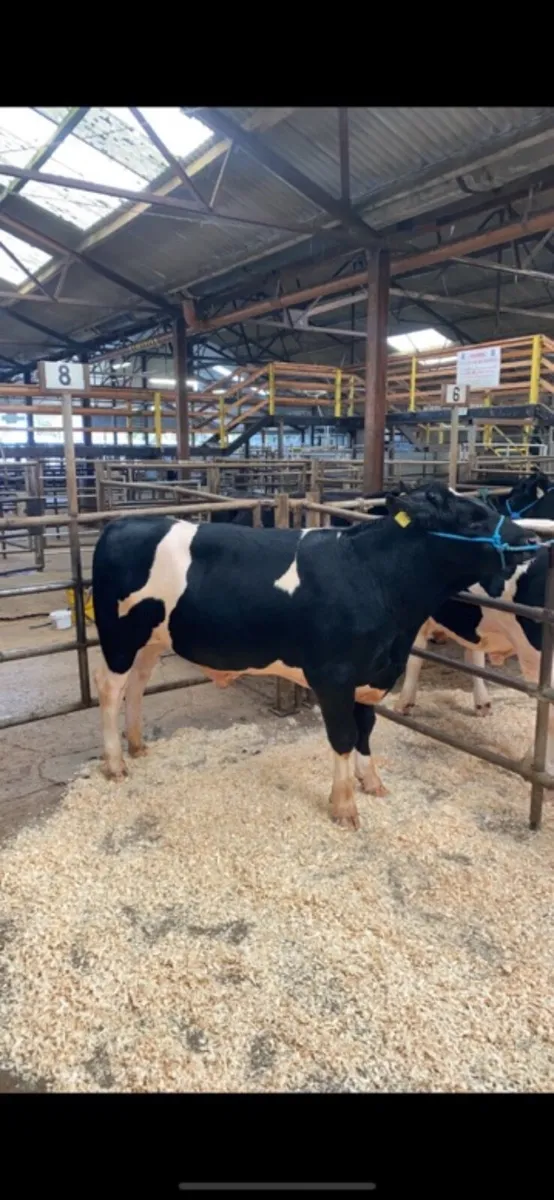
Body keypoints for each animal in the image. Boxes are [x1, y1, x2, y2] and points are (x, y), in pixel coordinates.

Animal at [91, 482, 540, 831]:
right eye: (474, 520)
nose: (527, 542)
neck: (375, 577)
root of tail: (123, 523)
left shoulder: (373, 673)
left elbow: (365, 730)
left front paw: (371, 781)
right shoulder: (333, 676)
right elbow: (343, 736)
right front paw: (343, 806)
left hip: (152, 639)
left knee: (139, 684)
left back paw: (137, 745)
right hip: (118, 638)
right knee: (111, 691)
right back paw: (115, 763)